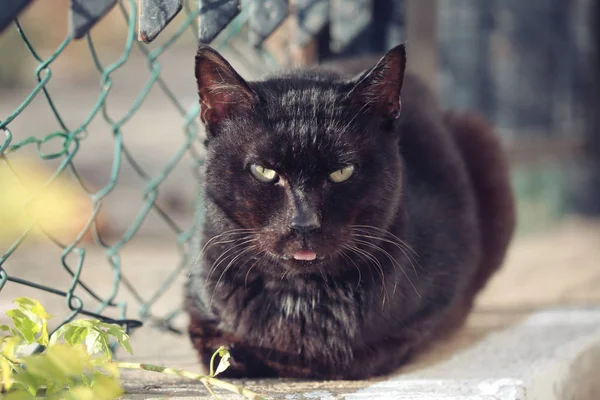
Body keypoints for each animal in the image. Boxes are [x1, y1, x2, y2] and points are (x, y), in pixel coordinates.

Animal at [184, 42, 516, 380]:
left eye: (341, 172)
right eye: (264, 171)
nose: (304, 223)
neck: (299, 296)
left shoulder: (428, 312)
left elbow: (347, 356)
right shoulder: (197, 300)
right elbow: (215, 343)